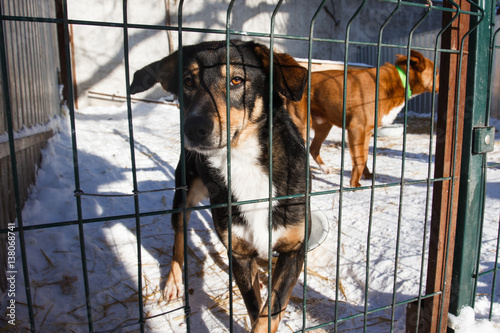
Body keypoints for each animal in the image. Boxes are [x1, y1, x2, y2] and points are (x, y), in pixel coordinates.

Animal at [130, 40, 308, 330]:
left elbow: (269, 313)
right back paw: (173, 281)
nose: (194, 128)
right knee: (179, 235)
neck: (243, 160)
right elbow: (256, 310)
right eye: (188, 81)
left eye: (236, 80)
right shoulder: (239, 254)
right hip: (183, 196)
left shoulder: (294, 250)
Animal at [290, 51, 438, 188]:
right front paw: (354, 184)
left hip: (324, 126)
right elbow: (360, 160)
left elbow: (364, 157)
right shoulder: (357, 129)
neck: (401, 80)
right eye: (436, 72)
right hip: (303, 125)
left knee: (313, 148)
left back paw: (324, 169)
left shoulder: (367, 132)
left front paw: (367, 175)